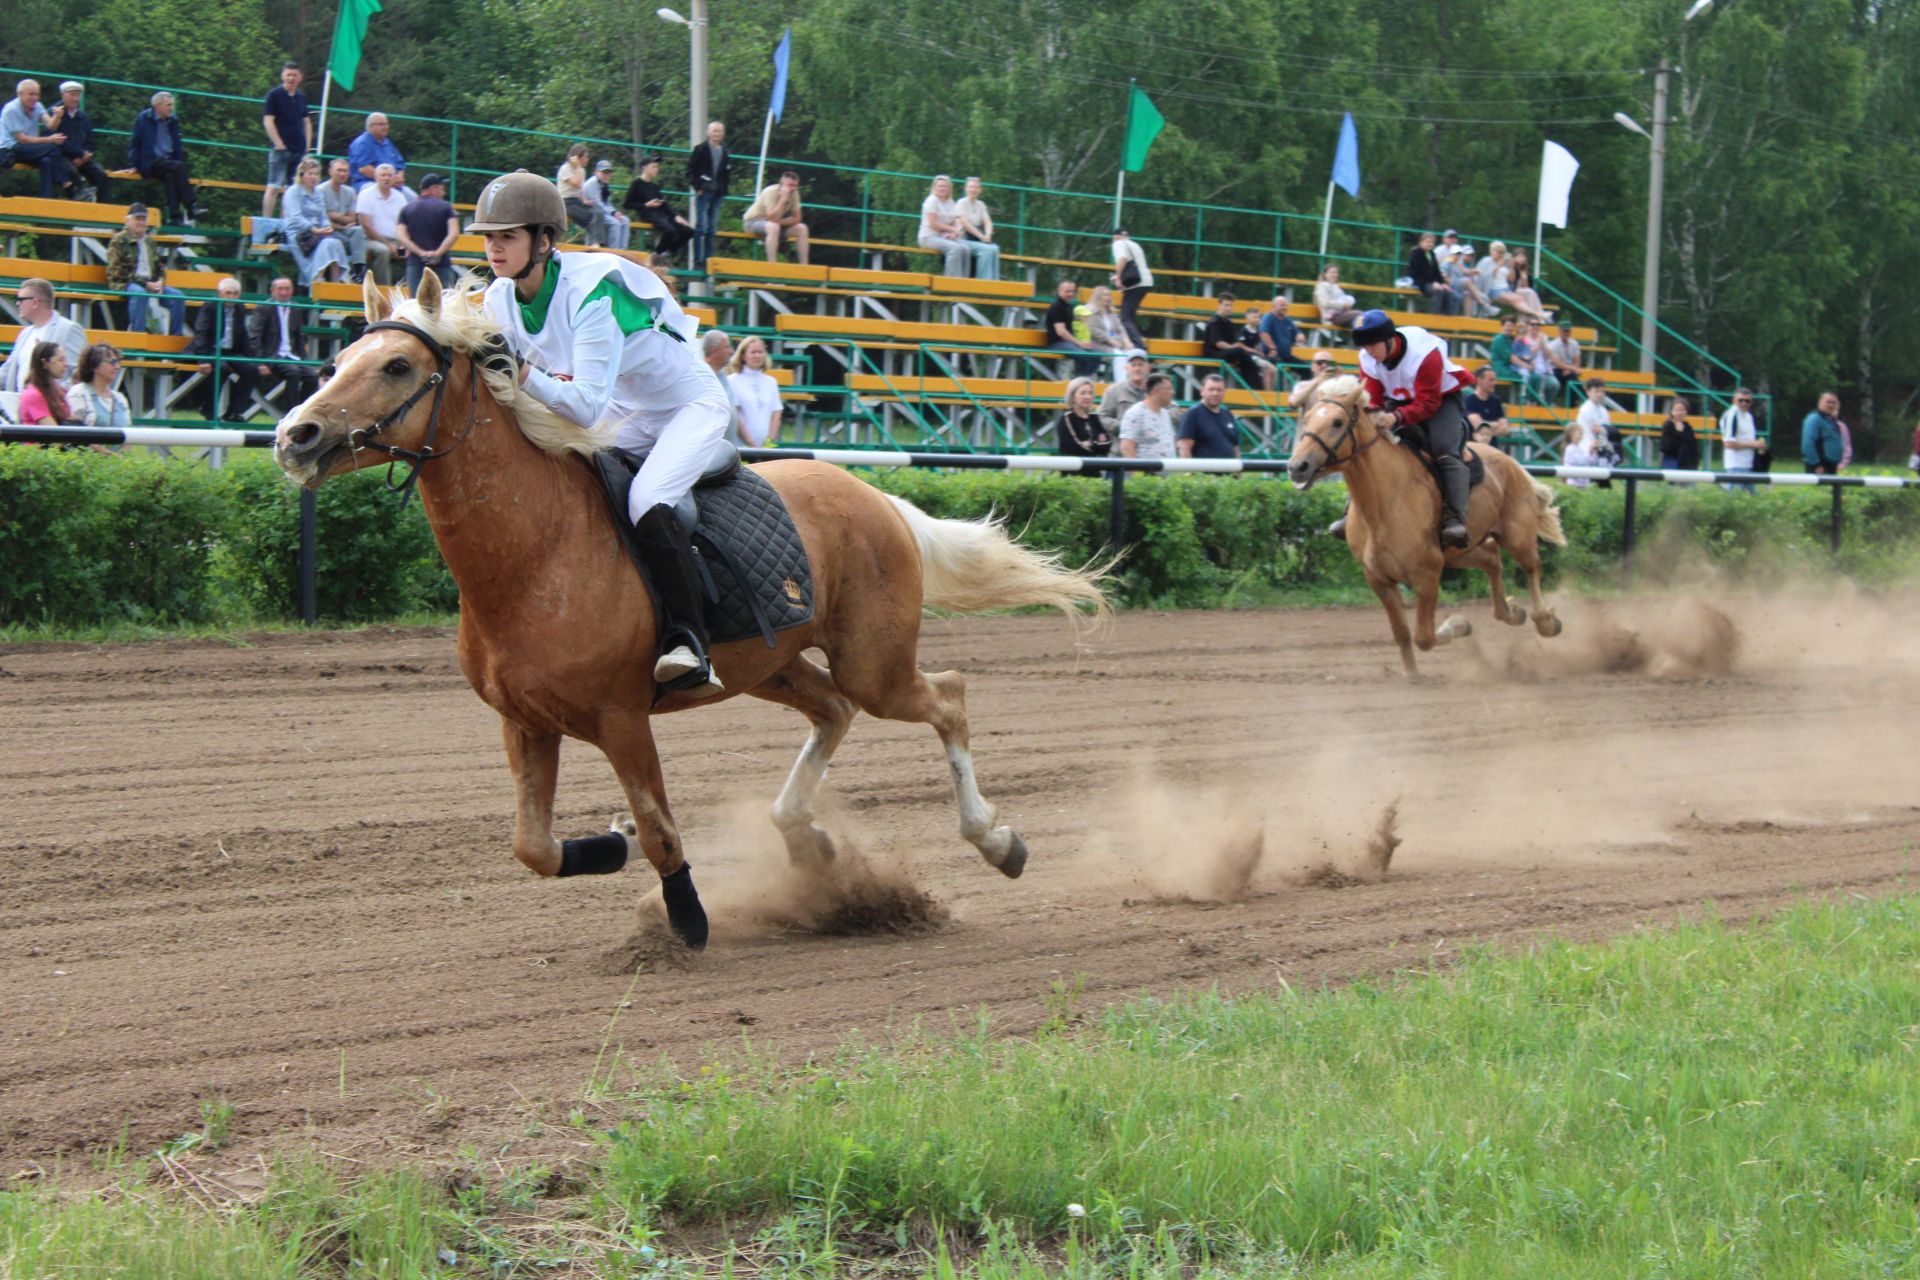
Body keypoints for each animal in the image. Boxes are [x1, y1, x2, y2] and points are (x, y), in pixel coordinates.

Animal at [272, 276, 1113, 948]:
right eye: (338, 361)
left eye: (397, 366)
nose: (294, 436)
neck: (536, 553)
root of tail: (875, 497)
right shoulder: (526, 722)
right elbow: (534, 846)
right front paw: (606, 848)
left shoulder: (621, 719)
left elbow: (661, 831)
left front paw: (687, 921)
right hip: (771, 665)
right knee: (834, 711)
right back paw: (809, 844)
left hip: (873, 662)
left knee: (947, 698)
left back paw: (994, 840)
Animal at [1290, 376, 1559, 675]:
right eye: (1307, 418)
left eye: (1337, 422)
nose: (1297, 466)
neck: (1383, 503)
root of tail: (1511, 462)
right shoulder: (1378, 579)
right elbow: (1402, 633)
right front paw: (1412, 674)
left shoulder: (1427, 575)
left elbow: (1424, 636)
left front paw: (1458, 625)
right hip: (1459, 551)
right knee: (1491, 558)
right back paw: (1511, 612)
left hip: (1516, 534)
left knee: (1531, 566)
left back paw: (1545, 620)